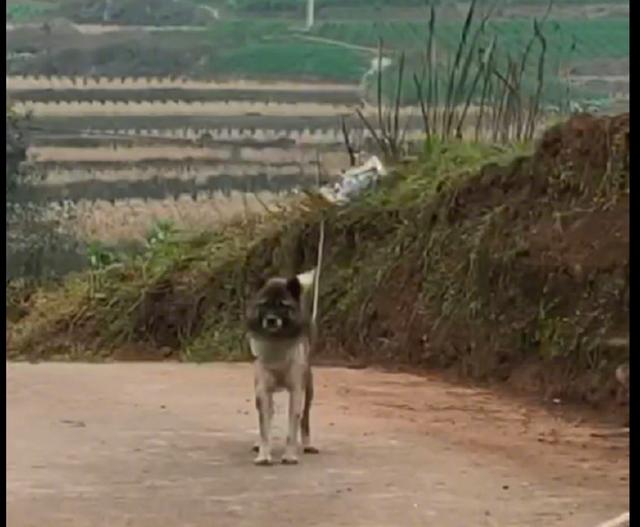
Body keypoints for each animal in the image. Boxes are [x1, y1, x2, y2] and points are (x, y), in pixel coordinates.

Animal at [246, 270, 318, 464]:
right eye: (264, 304)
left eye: (282, 305)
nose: (271, 320)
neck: (276, 342)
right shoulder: (262, 389)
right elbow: (264, 427)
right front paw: (263, 454)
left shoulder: (296, 390)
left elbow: (293, 427)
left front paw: (290, 455)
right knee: (268, 414)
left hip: (308, 388)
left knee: (305, 419)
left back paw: (308, 444)